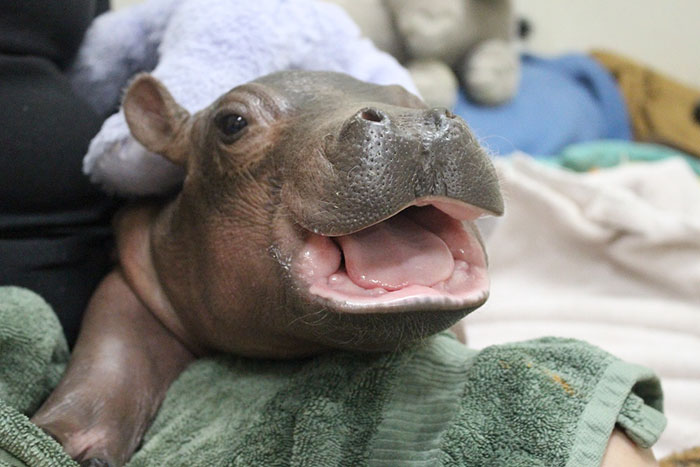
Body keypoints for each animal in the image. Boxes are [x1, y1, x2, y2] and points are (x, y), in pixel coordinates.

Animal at [31, 71, 504, 466]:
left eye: (413, 98)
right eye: (231, 122)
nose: (415, 125)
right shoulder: (137, 272)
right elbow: (112, 348)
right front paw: (63, 438)